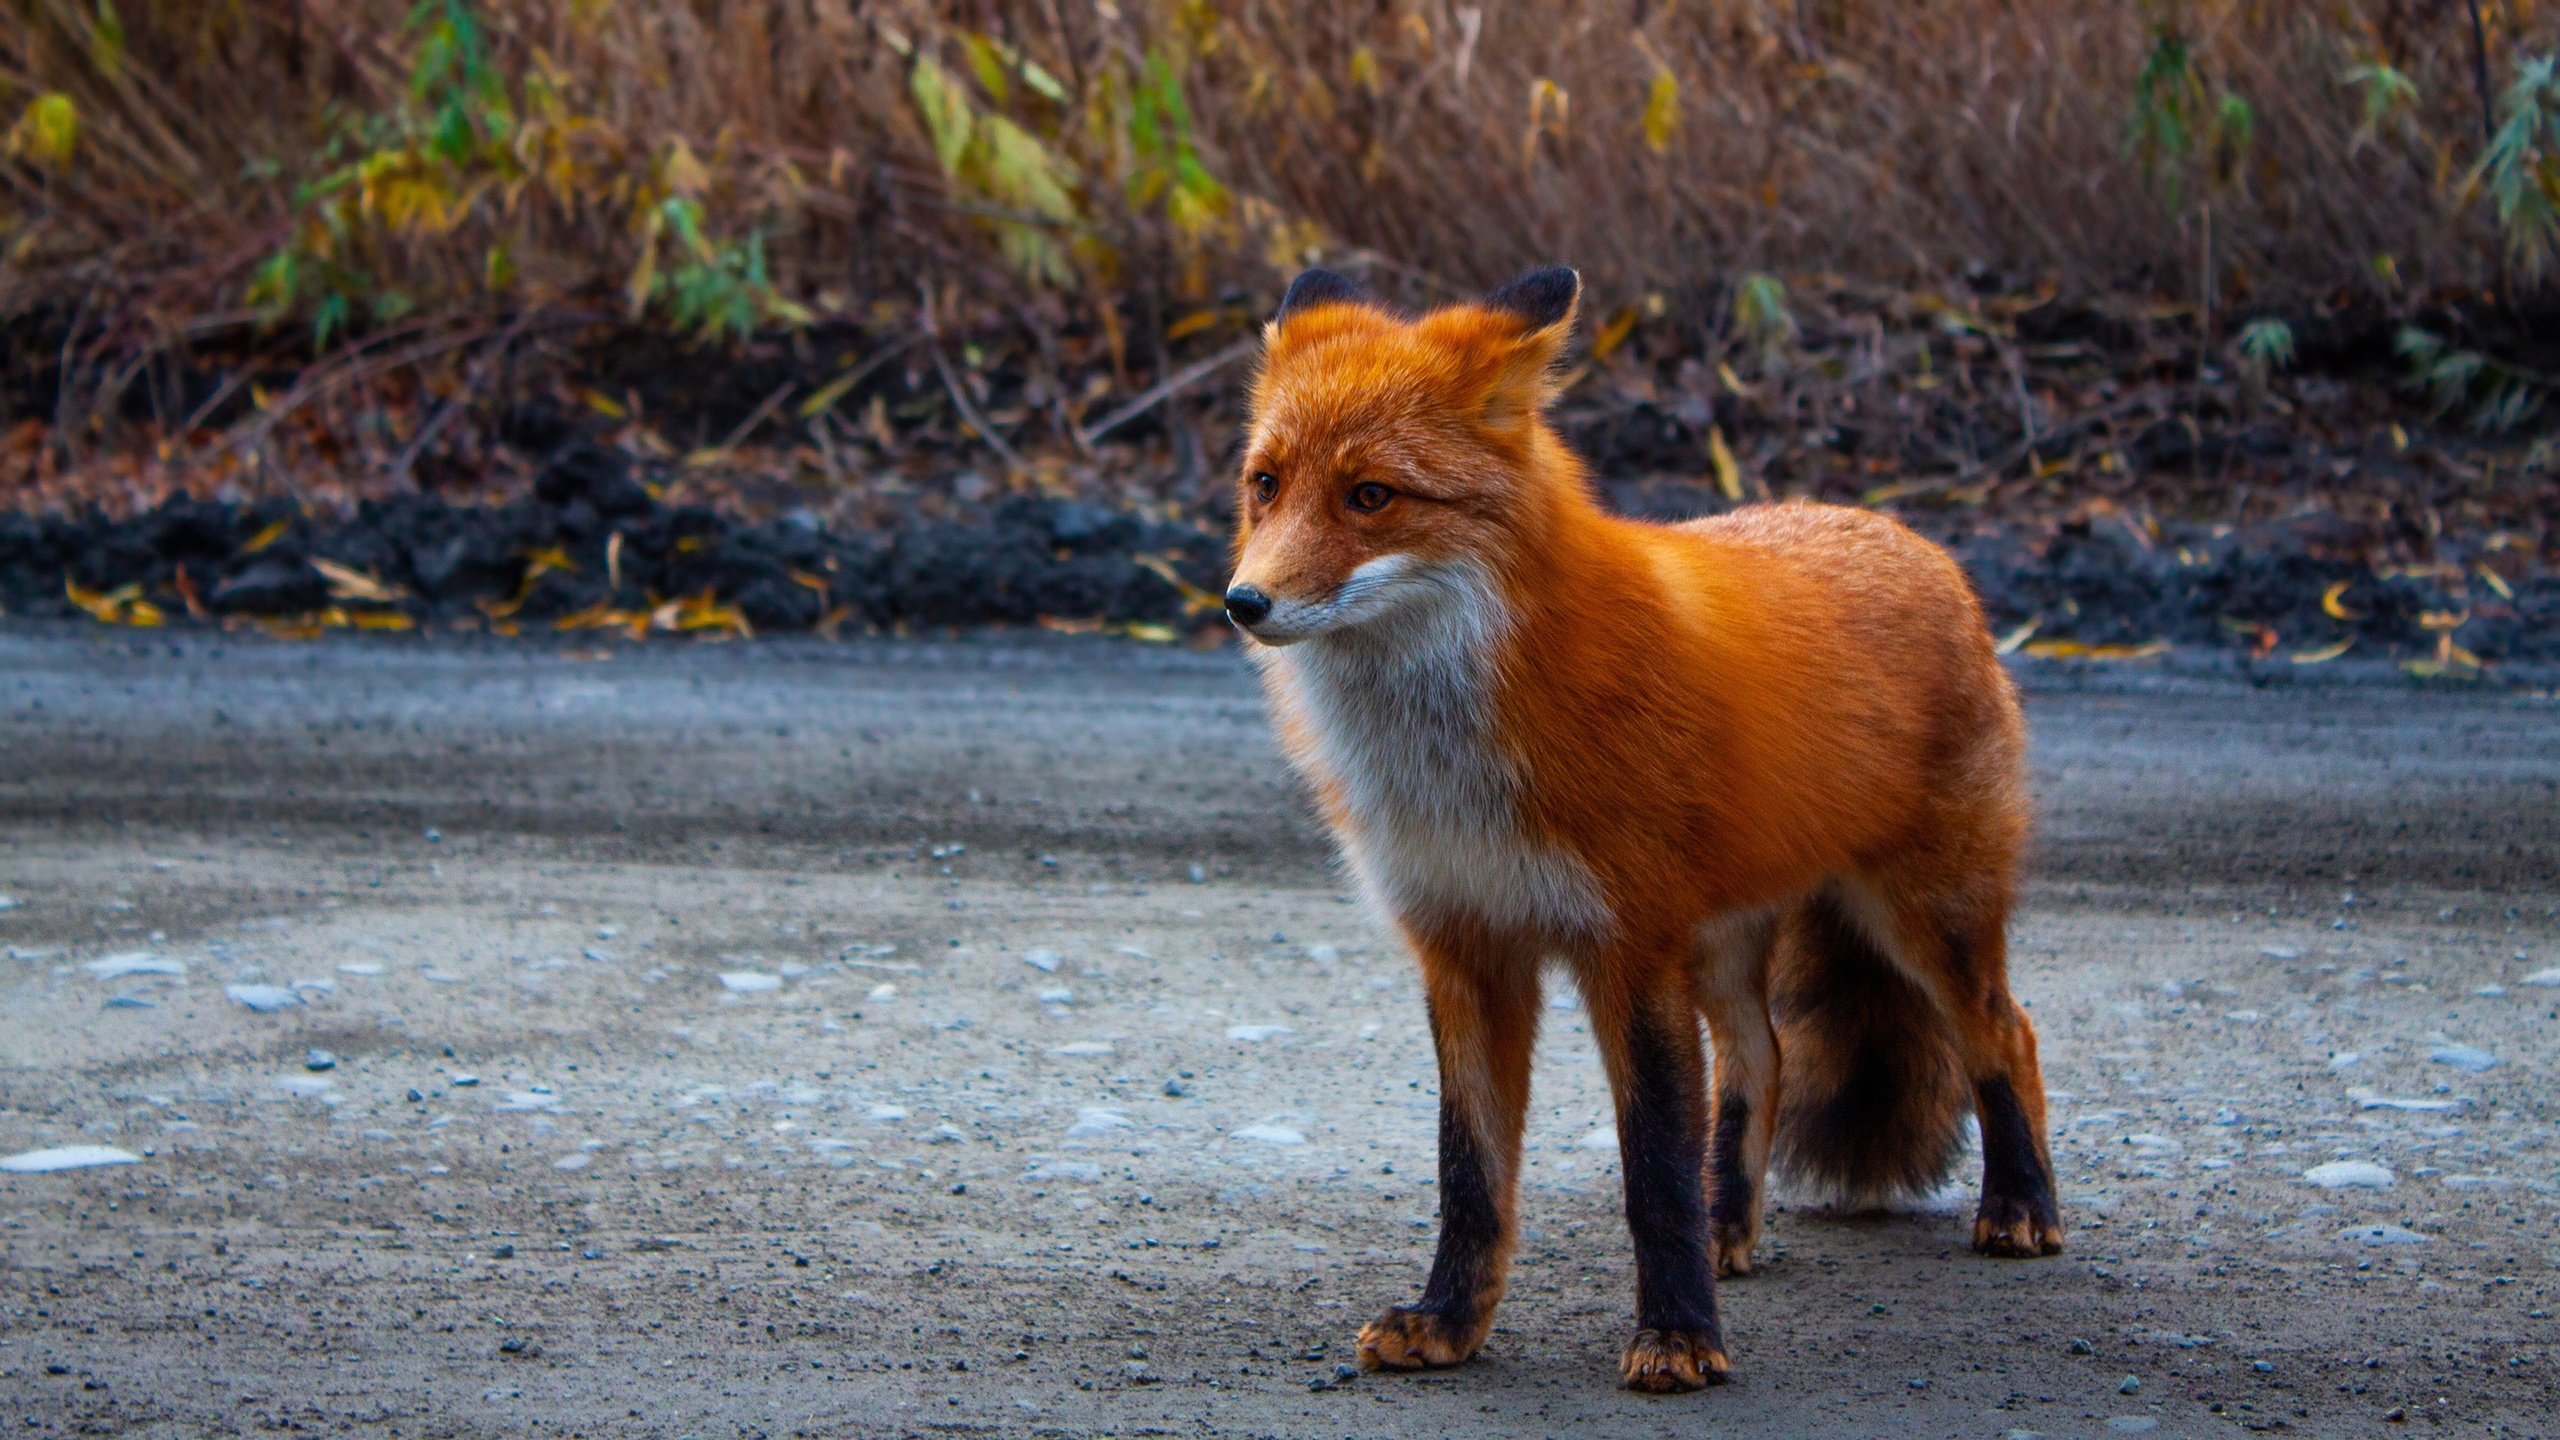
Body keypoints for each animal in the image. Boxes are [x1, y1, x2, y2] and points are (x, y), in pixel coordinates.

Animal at [1218, 266, 2058, 1393]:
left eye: (1370, 496)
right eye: (1265, 484)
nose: (1242, 601)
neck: (1451, 760)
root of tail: (1913, 540)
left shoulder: (1629, 946)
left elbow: (1653, 1166)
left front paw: (1678, 1338)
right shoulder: (1464, 947)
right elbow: (1469, 1172)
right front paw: (1448, 1323)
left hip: (1925, 916)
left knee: (2005, 1032)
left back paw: (2019, 1207)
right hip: (1730, 942)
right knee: (1762, 1061)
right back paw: (1729, 1227)